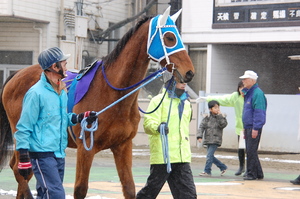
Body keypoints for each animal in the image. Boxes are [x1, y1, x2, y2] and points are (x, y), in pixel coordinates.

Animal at [0, 7, 195, 198]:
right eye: (169, 37)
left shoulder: (123, 146)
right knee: (20, 171)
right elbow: (80, 189)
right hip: (20, 134)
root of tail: (16, 75)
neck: (115, 94)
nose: (190, 72)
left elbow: (129, 187)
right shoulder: (85, 148)